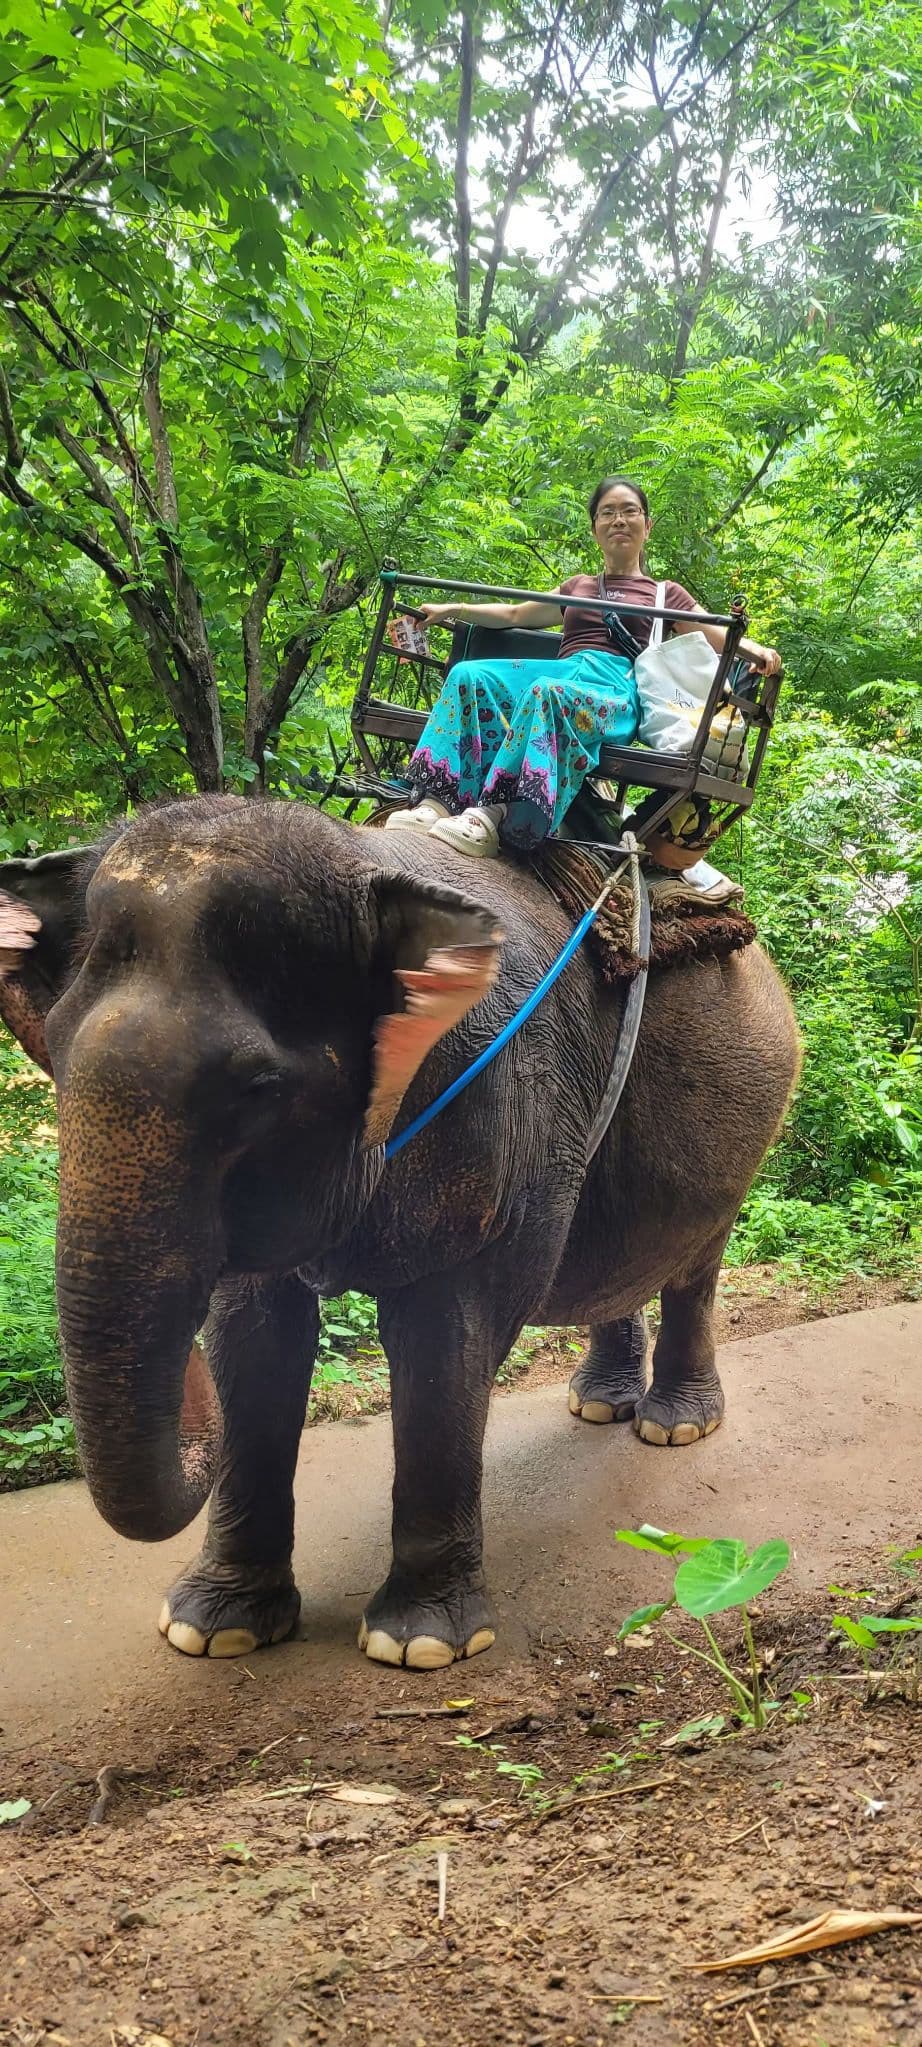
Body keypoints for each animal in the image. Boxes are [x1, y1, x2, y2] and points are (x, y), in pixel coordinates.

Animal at [0, 796, 799, 1672]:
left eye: (258, 1087)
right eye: (55, 1046)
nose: (187, 1400)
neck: (366, 866)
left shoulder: (499, 1109)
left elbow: (443, 1335)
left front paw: (419, 1644)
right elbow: (253, 1338)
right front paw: (212, 1631)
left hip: (747, 1127)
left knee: (695, 1266)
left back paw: (672, 1426)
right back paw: (598, 1405)